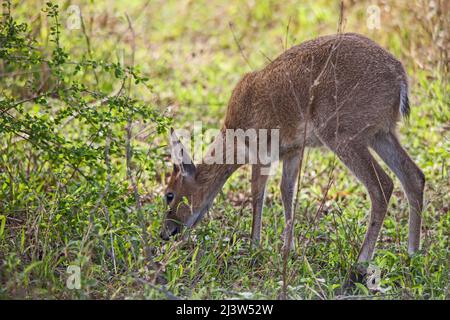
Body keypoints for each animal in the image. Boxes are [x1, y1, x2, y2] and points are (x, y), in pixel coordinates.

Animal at [162, 32, 426, 268]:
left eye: (169, 194)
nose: (166, 232)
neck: (233, 134)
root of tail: (400, 78)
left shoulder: (262, 152)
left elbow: (257, 194)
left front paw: (254, 247)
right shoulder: (293, 150)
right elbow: (286, 190)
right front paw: (288, 249)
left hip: (343, 134)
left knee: (382, 185)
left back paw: (361, 263)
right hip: (381, 133)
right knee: (414, 176)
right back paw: (412, 254)